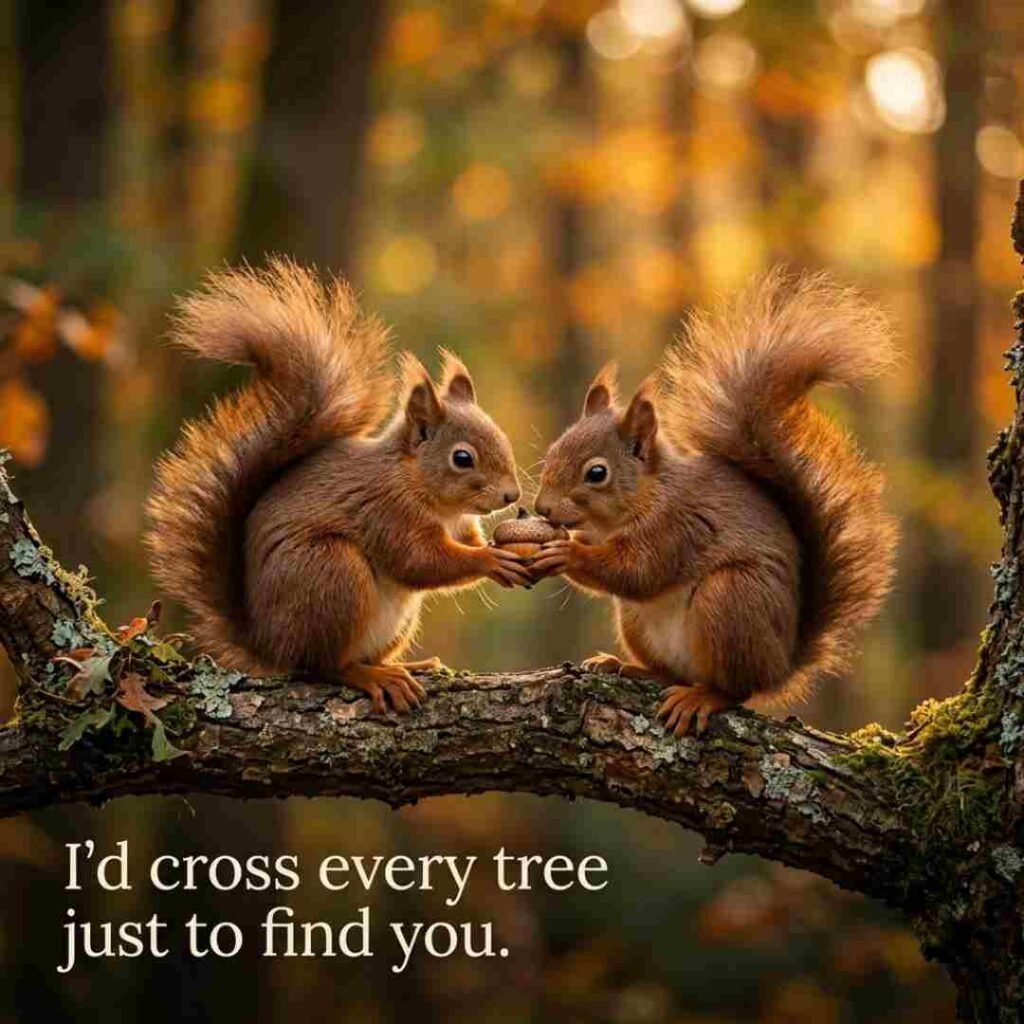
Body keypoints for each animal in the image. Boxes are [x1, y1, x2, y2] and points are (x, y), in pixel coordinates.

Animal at [145, 258, 530, 713]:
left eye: (501, 436)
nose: (512, 496)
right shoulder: (387, 511)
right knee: (323, 666)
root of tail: (268, 643)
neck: (429, 494)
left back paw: (407, 665)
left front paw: (502, 550)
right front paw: (490, 561)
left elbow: (462, 543)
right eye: (462, 458)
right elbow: (420, 561)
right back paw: (371, 676)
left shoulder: (461, 524)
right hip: (331, 573)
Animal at [531, 269, 898, 736]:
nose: (542, 509)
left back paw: (703, 697)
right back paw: (629, 667)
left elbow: (637, 572)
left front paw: (567, 553)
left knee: (735, 689)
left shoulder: (679, 526)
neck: (642, 499)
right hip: (635, 621)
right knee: (673, 672)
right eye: (552, 452)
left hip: (730, 600)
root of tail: (781, 665)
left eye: (597, 473)